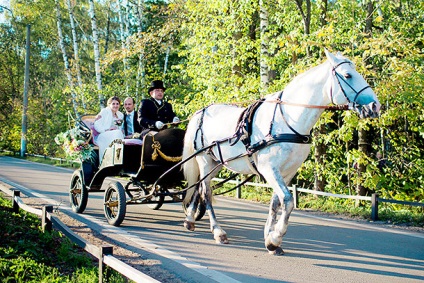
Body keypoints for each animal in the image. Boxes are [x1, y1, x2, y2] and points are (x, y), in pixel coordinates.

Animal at [182, 50, 380, 256]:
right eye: (348, 75)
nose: (375, 106)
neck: (287, 121)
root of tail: (201, 112)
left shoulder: (288, 172)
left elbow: (276, 202)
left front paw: (270, 237)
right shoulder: (269, 169)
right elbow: (287, 200)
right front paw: (275, 238)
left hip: (216, 164)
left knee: (198, 188)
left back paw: (190, 220)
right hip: (204, 160)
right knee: (206, 192)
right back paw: (218, 231)